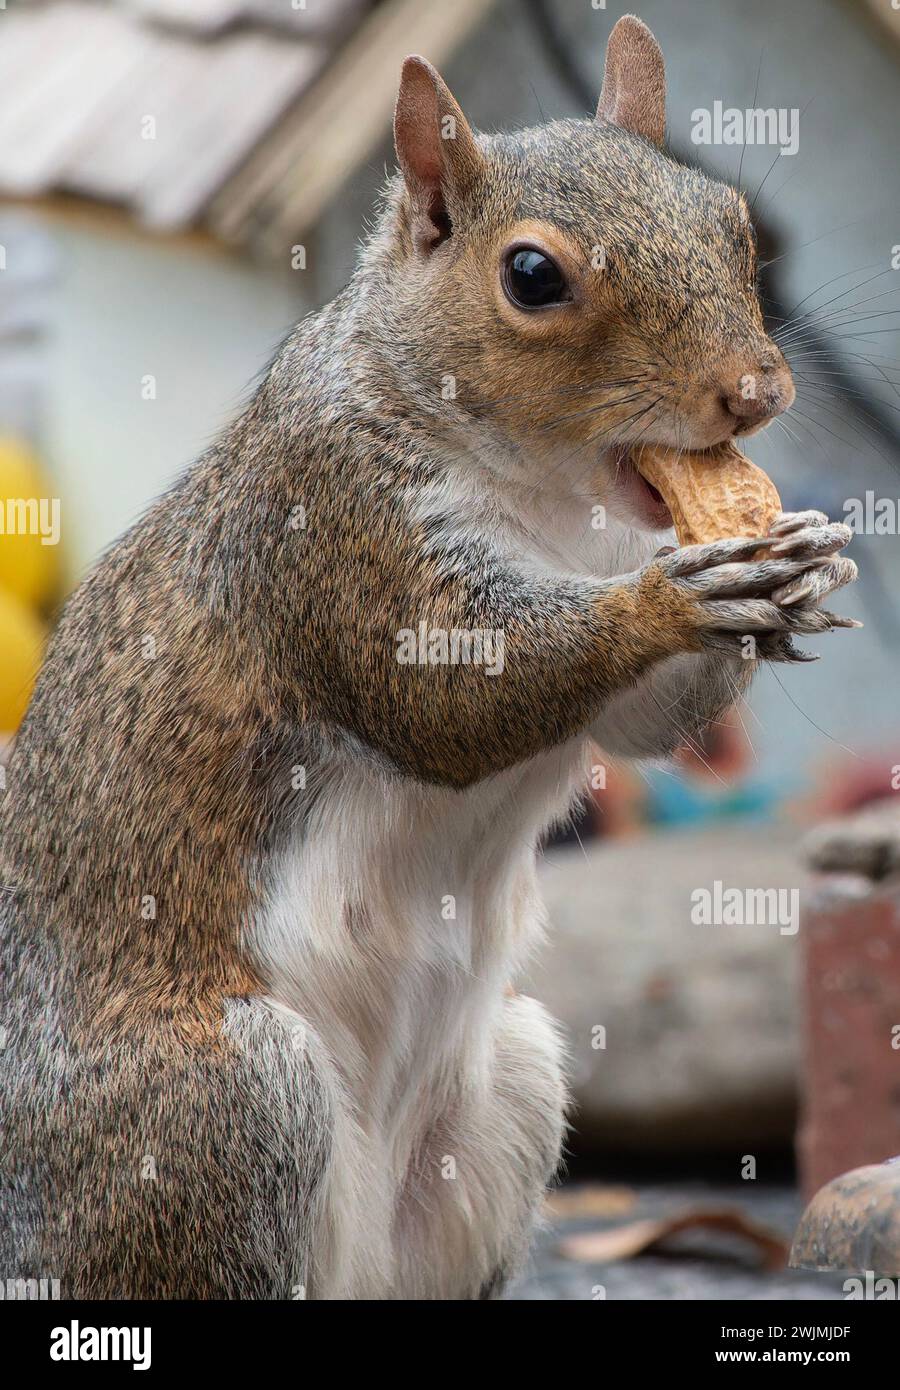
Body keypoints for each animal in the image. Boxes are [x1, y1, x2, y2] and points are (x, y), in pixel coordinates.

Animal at [0, 19, 856, 1301]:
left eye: (733, 221)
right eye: (533, 277)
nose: (755, 394)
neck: (560, 506)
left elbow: (638, 725)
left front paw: (788, 564)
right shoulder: (334, 525)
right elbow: (445, 700)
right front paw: (676, 598)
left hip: (511, 1087)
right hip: (216, 1111)